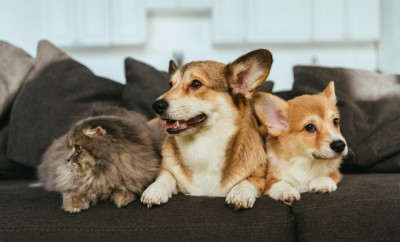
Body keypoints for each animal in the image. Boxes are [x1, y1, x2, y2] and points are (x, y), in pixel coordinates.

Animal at [139, 49, 274, 210]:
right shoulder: (165, 170)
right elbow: (165, 177)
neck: (204, 143)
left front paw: (240, 193)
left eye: (196, 84)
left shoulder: (260, 178)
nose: (156, 106)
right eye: (170, 85)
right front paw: (155, 190)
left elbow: (248, 181)